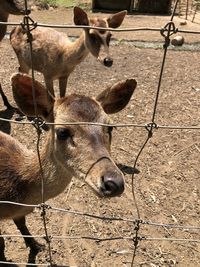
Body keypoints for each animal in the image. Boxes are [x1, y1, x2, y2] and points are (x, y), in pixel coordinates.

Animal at [0, 73, 138, 266]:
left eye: (110, 127)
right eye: (62, 132)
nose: (113, 182)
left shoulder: (20, 213)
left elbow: (22, 224)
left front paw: (37, 246)